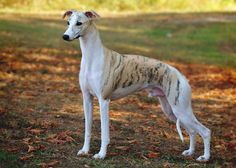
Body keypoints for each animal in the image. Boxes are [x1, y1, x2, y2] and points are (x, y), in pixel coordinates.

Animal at [61, 9, 211, 161]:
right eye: (68, 22)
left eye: (79, 23)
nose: (65, 36)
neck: (92, 57)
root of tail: (181, 76)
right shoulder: (87, 98)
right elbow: (88, 128)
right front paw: (85, 150)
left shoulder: (104, 100)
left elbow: (104, 132)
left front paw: (101, 154)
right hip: (171, 110)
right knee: (192, 131)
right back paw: (190, 152)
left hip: (181, 109)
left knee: (205, 131)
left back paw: (205, 157)